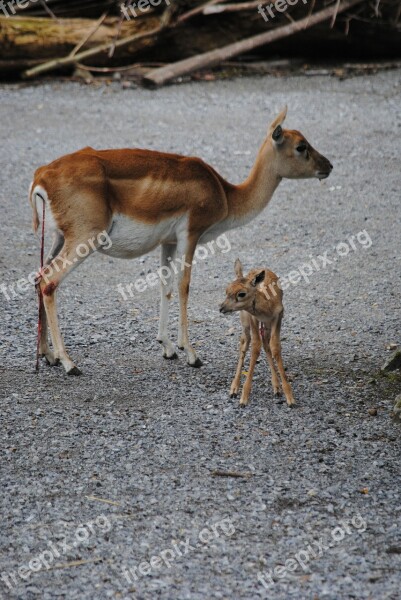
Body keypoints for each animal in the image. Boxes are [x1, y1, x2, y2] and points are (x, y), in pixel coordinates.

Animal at [28, 105, 332, 372]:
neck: (225, 193)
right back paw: (69, 363)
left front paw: (168, 347)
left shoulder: (168, 242)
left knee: (37, 277)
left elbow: (165, 286)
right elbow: (184, 285)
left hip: (58, 238)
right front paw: (191, 353)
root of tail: (42, 176)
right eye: (301, 146)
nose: (328, 165)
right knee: (49, 281)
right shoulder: (191, 234)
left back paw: (47, 355)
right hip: (85, 239)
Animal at [219, 258, 294, 408]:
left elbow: (275, 347)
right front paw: (244, 397)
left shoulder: (278, 316)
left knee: (265, 343)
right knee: (244, 342)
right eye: (226, 290)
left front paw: (290, 397)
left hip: (266, 325)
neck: (266, 307)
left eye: (241, 294)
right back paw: (234, 389)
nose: (221, 307)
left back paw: (276, 387)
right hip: (245, 320)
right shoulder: (253, 318)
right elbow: (255, 348)